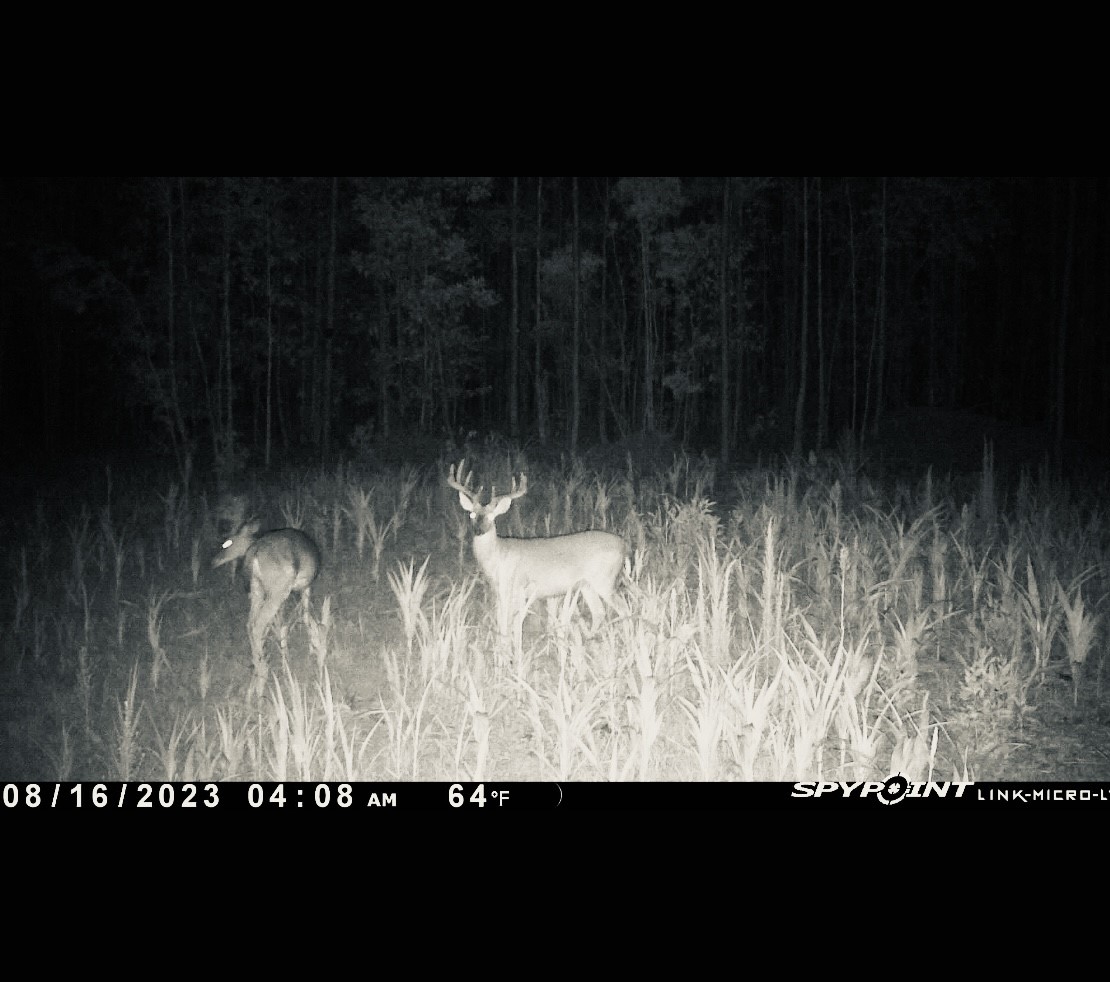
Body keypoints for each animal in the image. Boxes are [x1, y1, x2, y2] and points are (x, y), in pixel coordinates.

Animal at [211, 518, 321, 670]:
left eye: (228, 542)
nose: (213, 561)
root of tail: (254, 551)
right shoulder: (305, 586)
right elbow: (304, 616)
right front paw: (312, 650)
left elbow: (287, 622)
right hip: (278, 589)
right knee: (258, 625)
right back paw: (263, 666)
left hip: (258, 589)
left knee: (250, 623)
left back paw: (257, 662)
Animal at [447, 460, 628, 654]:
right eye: (471, 514)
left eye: (492, 516)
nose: (478, 530)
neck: (498, 557)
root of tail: (623, 544)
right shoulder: (500, 591)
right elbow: (502, 622)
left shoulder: (516, 586)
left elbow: (513, 623)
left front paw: (514, 653)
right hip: (586, 584)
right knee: (599, 612)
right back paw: (587, 642)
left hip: (604, 580)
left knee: (623, 608)